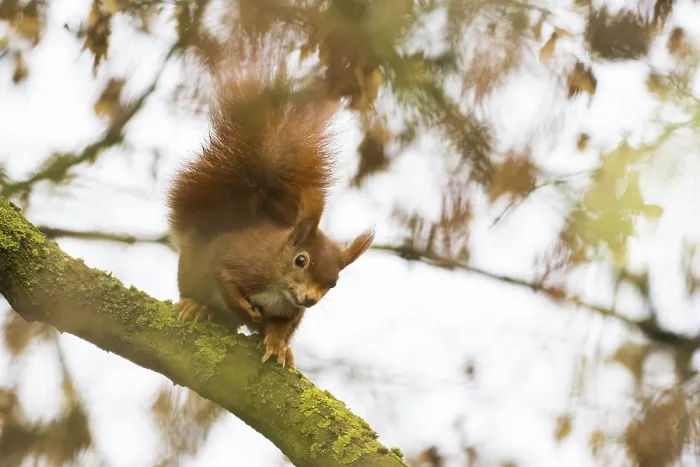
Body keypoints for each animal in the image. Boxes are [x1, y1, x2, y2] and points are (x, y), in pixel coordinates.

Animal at [166, 61, 374, 369]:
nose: (310, 300)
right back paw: (197, 306)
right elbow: (224, 281)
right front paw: (245, 309)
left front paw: (278, 345)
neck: (279, 287)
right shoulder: (235, 259)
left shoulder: (293, 311)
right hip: (191, 269)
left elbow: (281, 327)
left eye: (335, 283)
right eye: (300, 260)